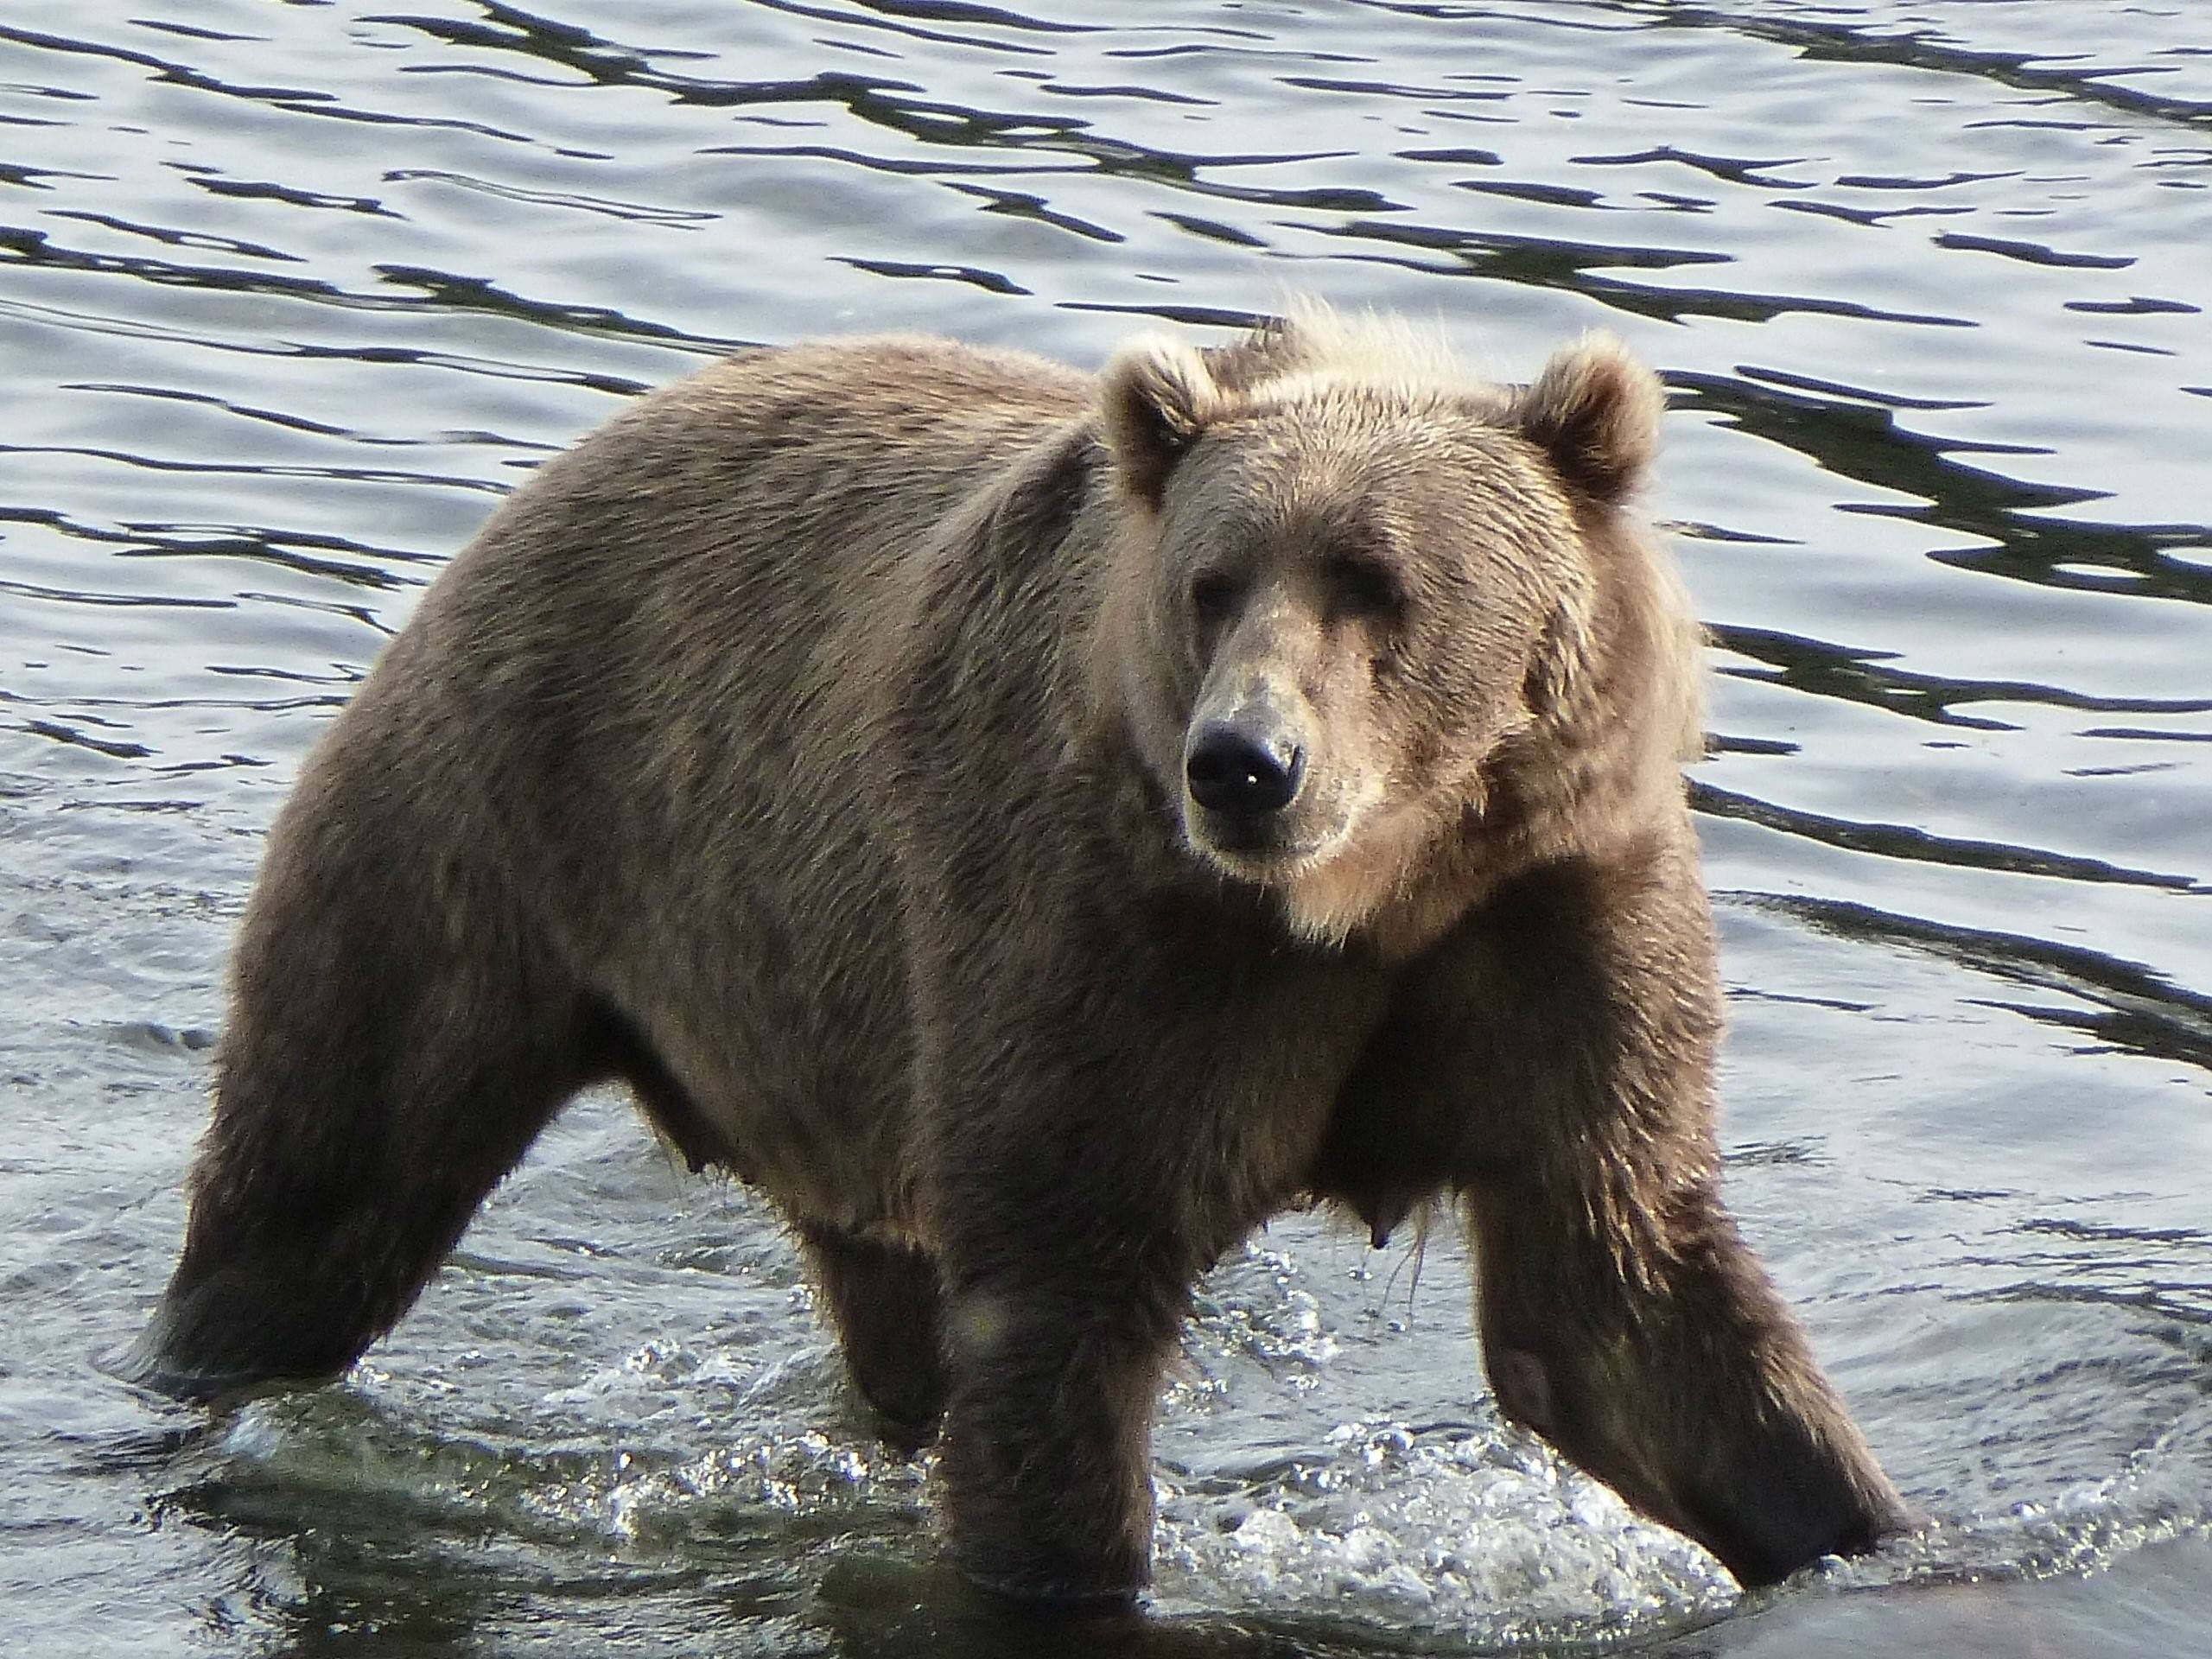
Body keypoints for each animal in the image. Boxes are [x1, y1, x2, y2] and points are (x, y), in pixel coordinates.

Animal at [129, 305, 1910, 1601]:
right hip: (489, 834)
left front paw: (1861, 1529)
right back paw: (194, 1385)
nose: (1242, 765)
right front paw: (1071, 1574)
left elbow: (1621, 1296)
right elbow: (1065, 1299)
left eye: (1377, 584)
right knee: (324, 1179)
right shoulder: (1108, 934)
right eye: (1212, 584)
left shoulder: (1545, 917)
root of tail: (549, 478)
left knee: (885, 1286)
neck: (1366, 897)